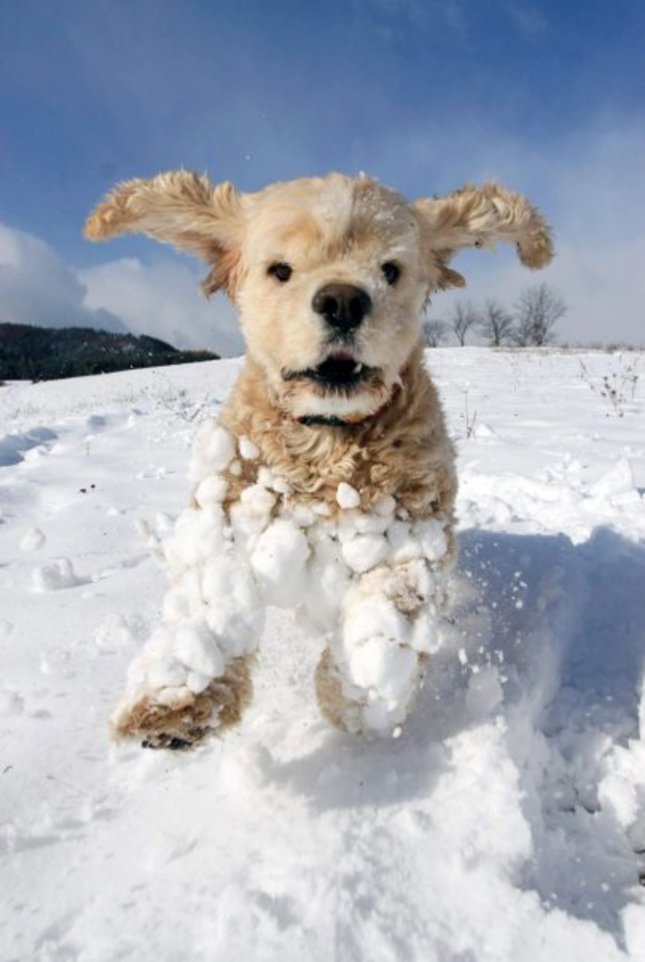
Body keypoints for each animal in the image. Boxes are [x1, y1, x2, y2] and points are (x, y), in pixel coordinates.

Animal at [83, 169, 552, 748]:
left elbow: (392, 600)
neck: (328, 441)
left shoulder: (411, 527)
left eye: (390, 270)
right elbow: (210, 601)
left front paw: (358, 693)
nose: (343, 301)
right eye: (280, 270)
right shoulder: (231, 509)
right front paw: (177, 702)